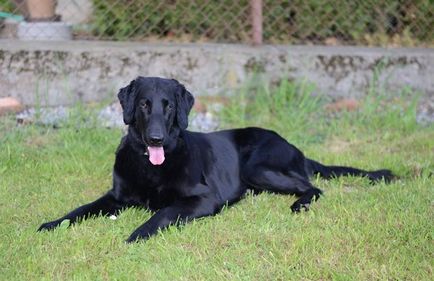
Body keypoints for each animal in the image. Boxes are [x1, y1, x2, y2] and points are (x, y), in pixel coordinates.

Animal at [39, 76, 396, 241]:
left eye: (168, 106)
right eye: (143, 104)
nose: (155, 138)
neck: (150, 166)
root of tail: (294, 146)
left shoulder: (203, 198)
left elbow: (163, 213)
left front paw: (138, 234)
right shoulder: (115, 197)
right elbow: (80, 210)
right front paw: (51, 224)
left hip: (258, 166)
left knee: (313, 187)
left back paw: (300, 204)